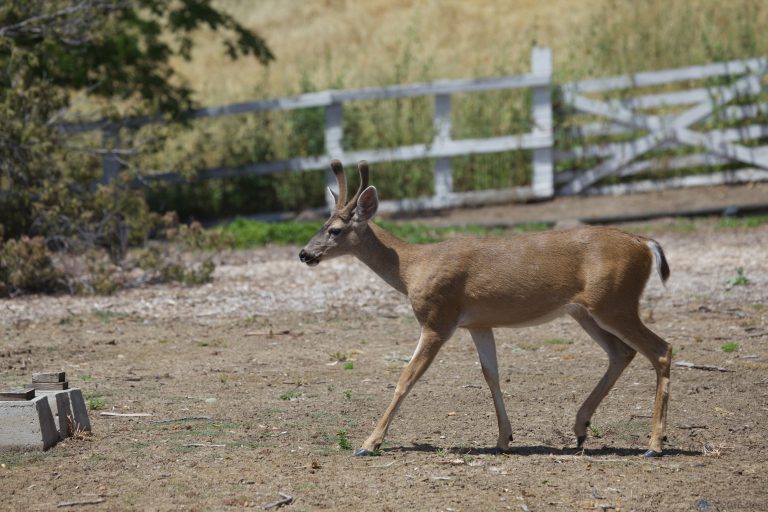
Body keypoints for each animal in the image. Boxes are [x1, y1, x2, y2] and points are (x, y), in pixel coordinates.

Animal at [299, 160, 673, 458]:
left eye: (334, 230)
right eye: (321, 226)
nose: (304, 253)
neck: (412, 267)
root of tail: (646, 243)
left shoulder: (438, 318)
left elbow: (407, 376)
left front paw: (369, 443)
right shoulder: (478, 323)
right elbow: (490, 373)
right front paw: (504, 438)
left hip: (615, 303)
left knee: (661, 349)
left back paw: (654, 445)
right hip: (586, 311)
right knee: (622, 352)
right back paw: (581, 428)